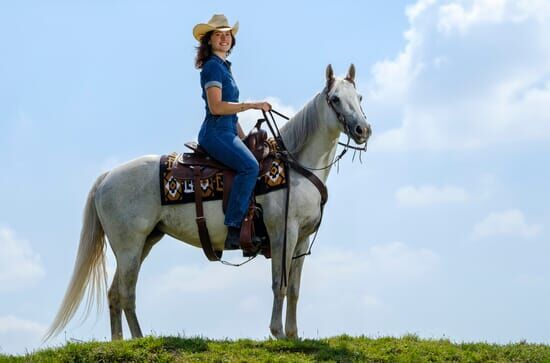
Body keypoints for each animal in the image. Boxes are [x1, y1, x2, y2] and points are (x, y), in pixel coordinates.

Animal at [47, 64, 374, 342]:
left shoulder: (302, 238)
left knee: (116, 293)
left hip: (144, 243)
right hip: (129, 246)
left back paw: (122, 342)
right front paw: (278, 333)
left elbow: (294, 288)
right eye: (335, 99)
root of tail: (106, 177)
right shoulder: (284, 232)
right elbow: (278, 284)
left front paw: (293, 335)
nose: (363, 130)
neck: (295, 165)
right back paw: (137, 341)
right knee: (127, 292)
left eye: (358, 97)